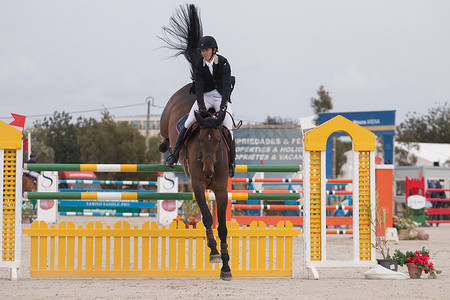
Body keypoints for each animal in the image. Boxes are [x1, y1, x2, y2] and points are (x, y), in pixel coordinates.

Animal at [158, 4, 234, 282]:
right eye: (200, 140)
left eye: (218, 141)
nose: (210, 170)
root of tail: (186, 89)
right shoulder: (200, 186)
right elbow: (207, 218)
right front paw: (214, 253)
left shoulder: (221, 189)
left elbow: (222, 226)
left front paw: (226, 267)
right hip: (164, 121)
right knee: (166, 138)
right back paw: (166, 152)